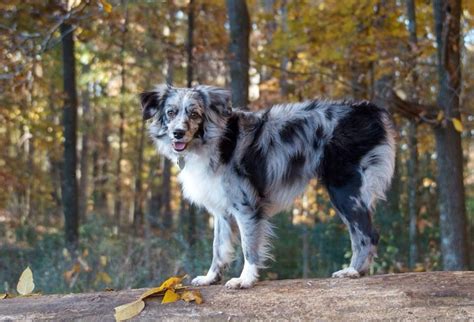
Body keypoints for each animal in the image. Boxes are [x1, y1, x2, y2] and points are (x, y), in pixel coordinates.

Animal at [141, 84, 396, 288]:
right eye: (171, 112)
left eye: (194, 114)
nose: (178, 133)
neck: (213, 141)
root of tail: (367, 109)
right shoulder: (221, 210)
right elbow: (218, 248)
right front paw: (210, 278)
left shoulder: (246, 207)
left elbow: (248, 247)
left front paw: (245, 279)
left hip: (344, 189)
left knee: (367, 233)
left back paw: (353, 270)